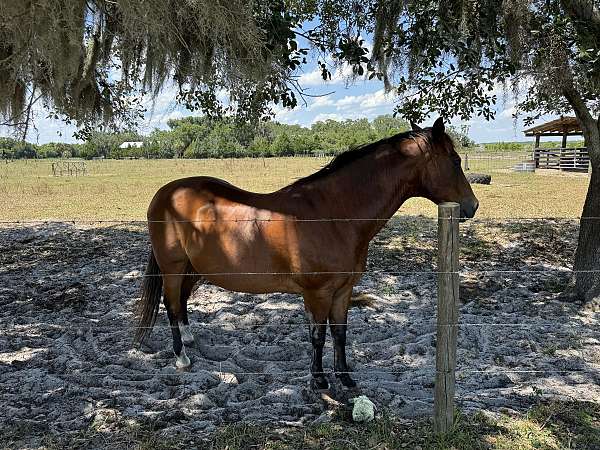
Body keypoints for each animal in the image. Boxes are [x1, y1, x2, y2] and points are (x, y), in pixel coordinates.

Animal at [135, 118, 478, 390]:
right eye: (455, 161)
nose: (471, 206)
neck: (334, 215)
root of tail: (166, 193)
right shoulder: (317, 293)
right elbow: (318, 335)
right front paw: (319, 379)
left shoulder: (343, 290)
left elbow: (339, 334)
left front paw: (345, 377)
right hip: (173, 267)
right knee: (170, 304)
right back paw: (181, 358)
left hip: (195, 268)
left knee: (181, 301)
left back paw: (189, 340)